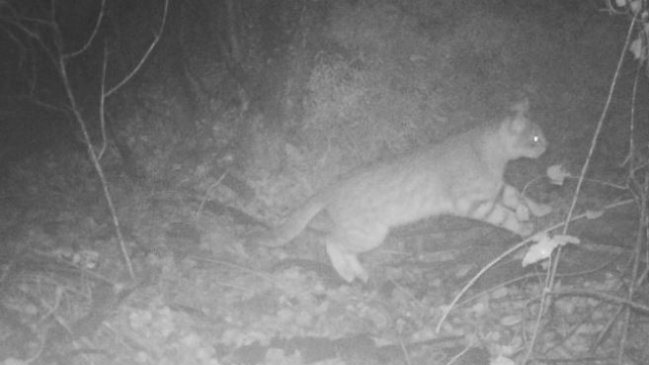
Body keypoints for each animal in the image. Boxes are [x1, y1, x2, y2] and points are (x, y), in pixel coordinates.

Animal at [256, 99, 548, 282]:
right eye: (535, 138)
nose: (547, 146)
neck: (490, 155)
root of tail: (333, 185)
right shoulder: (472, 202)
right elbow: (505, 215)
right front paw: (525, 227)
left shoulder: (497, 188)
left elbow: (521, 197)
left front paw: (540, 208)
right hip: (370, 233)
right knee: (332, 241)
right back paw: (348, 273)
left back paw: (360, 273)